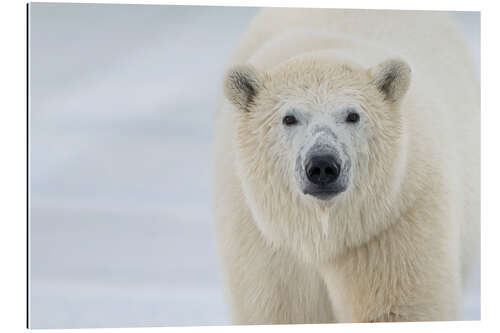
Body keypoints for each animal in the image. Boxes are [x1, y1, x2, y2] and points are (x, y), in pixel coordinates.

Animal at [213, 7, 478, 322]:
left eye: (353, 115)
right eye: (289, 118)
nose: (322, 166)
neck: (324, 236)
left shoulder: (392, 222)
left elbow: (399, 308)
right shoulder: (265, 242)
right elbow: (281, 311)